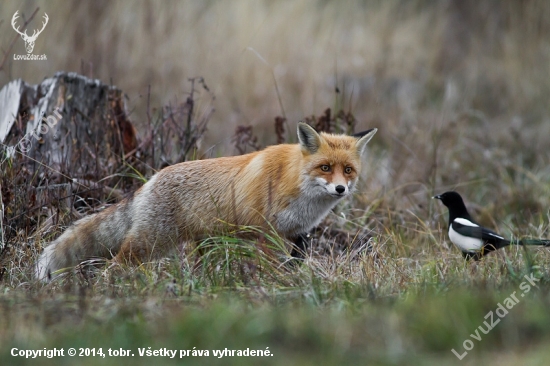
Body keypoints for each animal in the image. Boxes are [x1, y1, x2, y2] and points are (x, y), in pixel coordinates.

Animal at [36, 123, 378, 280]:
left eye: (348, 170)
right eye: (325, 168)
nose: (340, 189)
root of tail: (149, 181)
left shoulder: (298, 235)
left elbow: (294, 264)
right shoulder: (268, 233)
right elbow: (271, 268)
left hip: (204, 243)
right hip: (150, 243)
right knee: (114, 265)